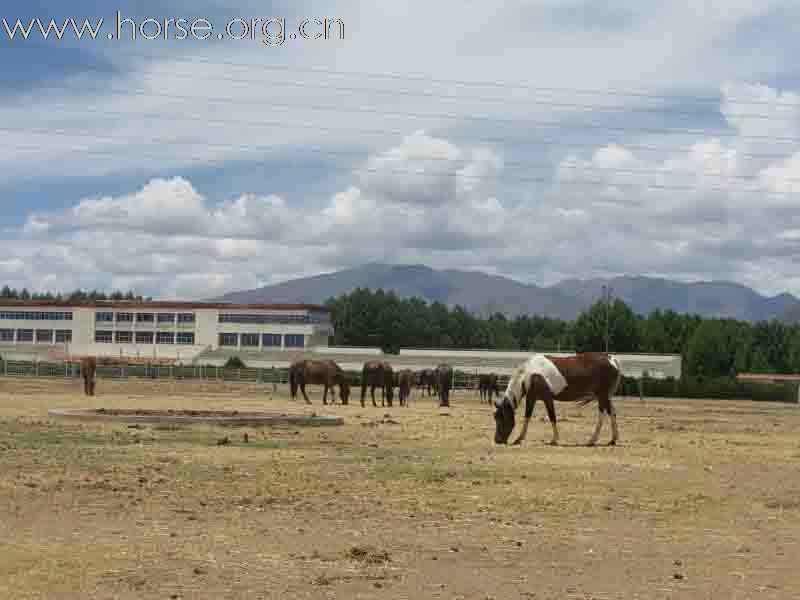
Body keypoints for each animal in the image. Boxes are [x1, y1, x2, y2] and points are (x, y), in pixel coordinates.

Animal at [494, 354, 624, 448]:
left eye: (502, 419)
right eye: (496, 418)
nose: (497, 440)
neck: (529, 374)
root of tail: (611, 359)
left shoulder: (545, 398)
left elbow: (550, 416)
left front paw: (554, 439)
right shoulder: (533, 397)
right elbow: (528, 416)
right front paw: (520, 438)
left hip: (602, 396)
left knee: (602, 415)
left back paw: (592, 440)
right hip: (606, 396)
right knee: (612, 413)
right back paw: (613, 440)